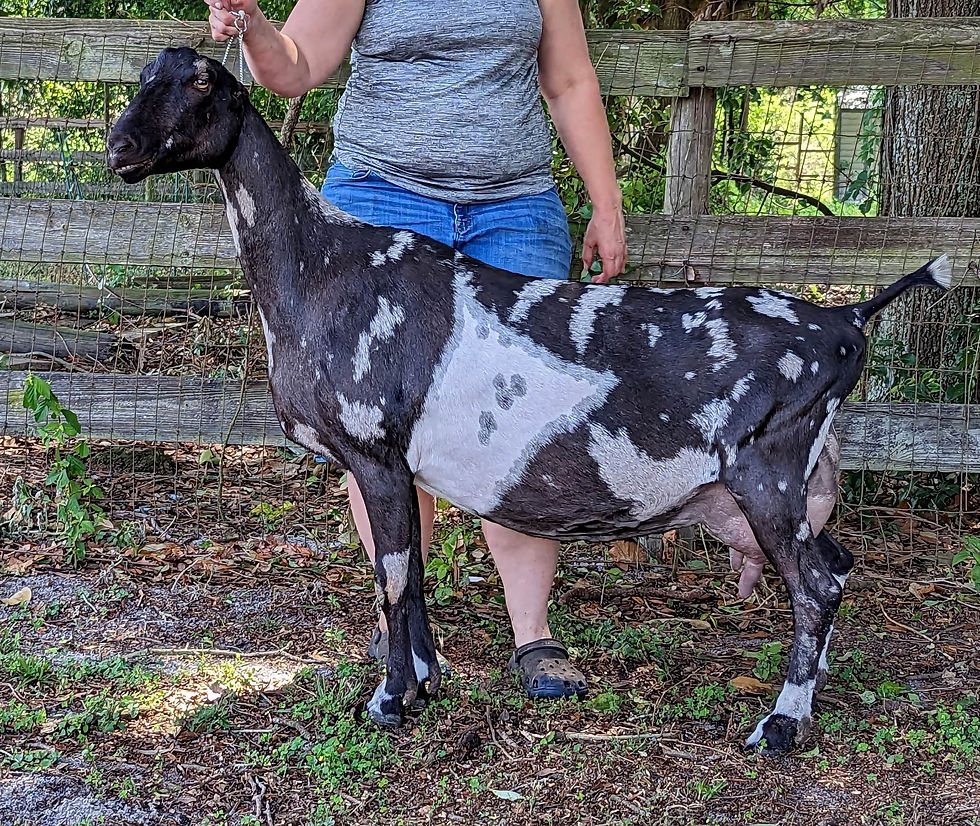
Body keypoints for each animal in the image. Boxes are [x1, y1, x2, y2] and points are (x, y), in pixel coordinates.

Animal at [107, 48, 950, 755]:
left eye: (201, 82)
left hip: (768, 469)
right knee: (838, 564)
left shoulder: (373, 452)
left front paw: (387, 702)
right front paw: (424, 683)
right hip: (800, 481)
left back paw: (780, 726)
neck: (321, 266)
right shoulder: (400, 466)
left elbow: (390, 575)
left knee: (816, 587)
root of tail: (846, 320)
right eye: (146, 76)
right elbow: (414, 572)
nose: (119, 149)